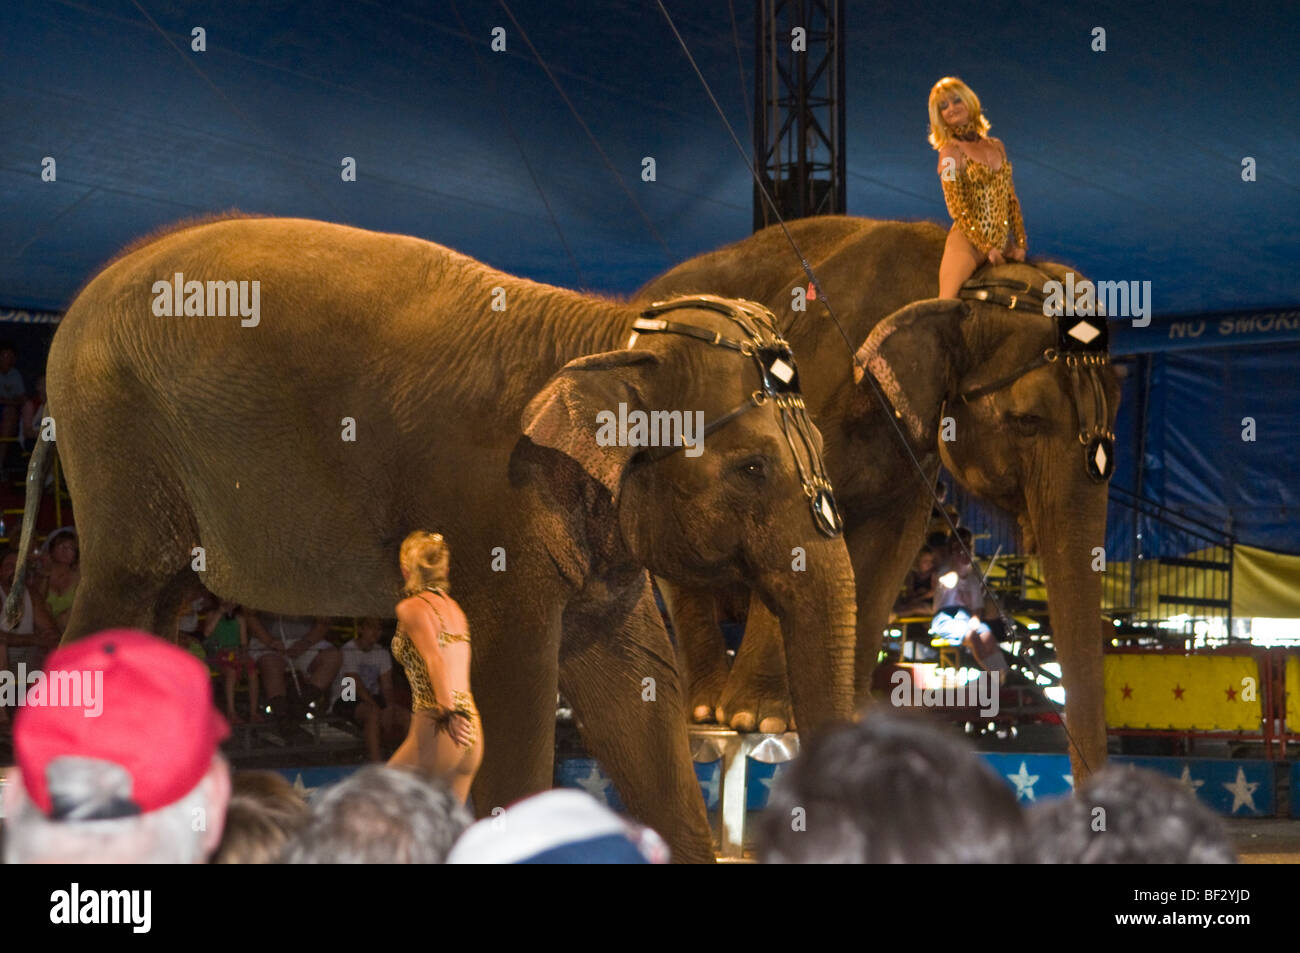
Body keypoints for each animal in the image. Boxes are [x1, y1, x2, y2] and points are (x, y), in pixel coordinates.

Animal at [7, 215, 863, 863]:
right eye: (753, 468)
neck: (610, 332)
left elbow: (636, 683)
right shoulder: (493, 500)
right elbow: (516, 684)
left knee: (157, 608)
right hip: (116, 438)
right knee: (122, 596)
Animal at [637, 213, 1118, 780]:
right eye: (1027, 420)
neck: (956, 284)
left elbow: (893, 544)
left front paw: (851, 714)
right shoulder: (809, 383)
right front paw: (759, 720)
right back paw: (706, 712)